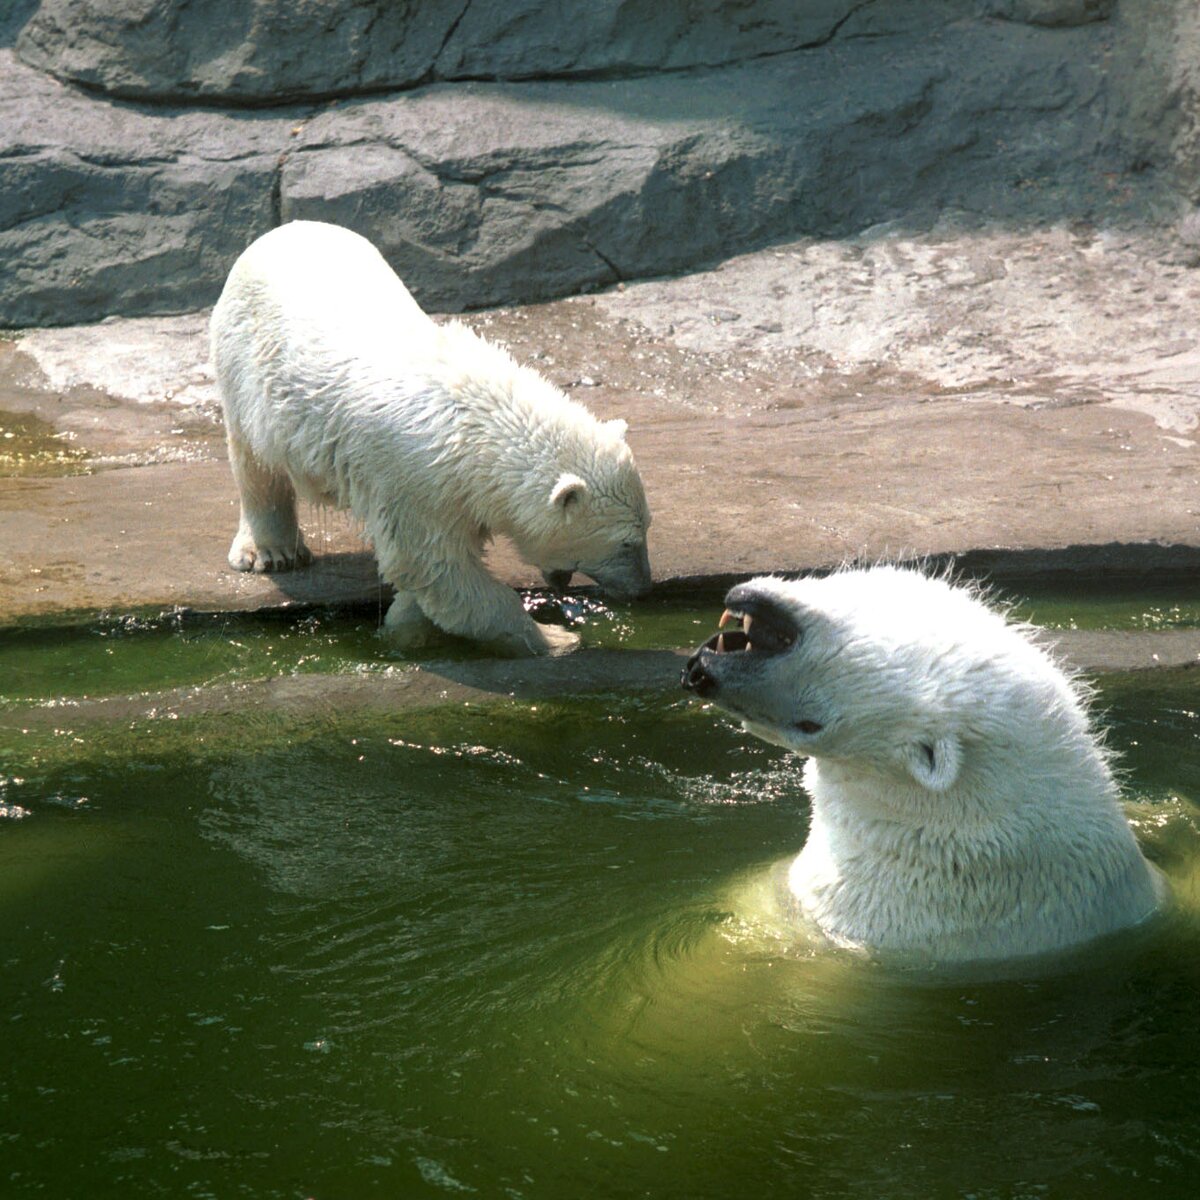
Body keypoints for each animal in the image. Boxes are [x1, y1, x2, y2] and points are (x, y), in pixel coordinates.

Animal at [211, 222, 652, 662]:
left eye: (645, 528)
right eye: (626, 544)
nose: (642, 588)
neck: (477, 423)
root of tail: (279, 232)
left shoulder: (459, 492)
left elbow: (430, 573)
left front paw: (404, 627)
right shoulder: (415, 480)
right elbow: (435, 566)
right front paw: (556, 638)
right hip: (247, 369)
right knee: (255, 460)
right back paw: (271, 551)